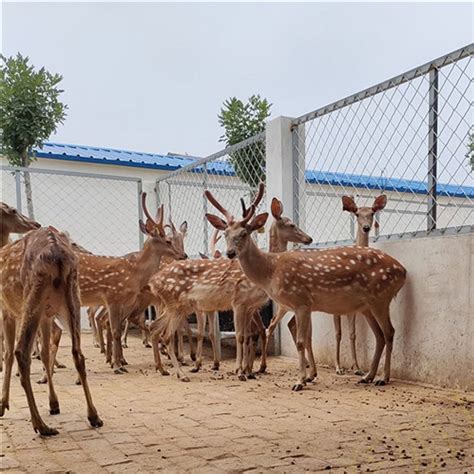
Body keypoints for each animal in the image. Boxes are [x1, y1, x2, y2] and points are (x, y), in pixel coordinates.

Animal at [0, 228, 103, 436]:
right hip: (71, 297)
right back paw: (94, 416)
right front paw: (54, 404)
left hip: (32, 295)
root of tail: (57, 255)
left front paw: (2, 405)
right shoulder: (46, 316)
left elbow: (8, 354)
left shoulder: (7, 310)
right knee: (77, 352)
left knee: (20, 351)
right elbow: (46, 353)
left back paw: (41, 425)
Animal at [206, 183, 408, 390]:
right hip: (367, 306)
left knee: (389, 332)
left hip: (381, 297)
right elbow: (304, 339)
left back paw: (383, 377)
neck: (271, 270)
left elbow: (301, 342)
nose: (230, 253)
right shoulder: (302, 305)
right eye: (225, 234)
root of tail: (403, 270)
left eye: (244, 233)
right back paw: (368, 376)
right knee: (379, 335)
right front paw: (306, 377)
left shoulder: (301, 301)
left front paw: (300, 381)